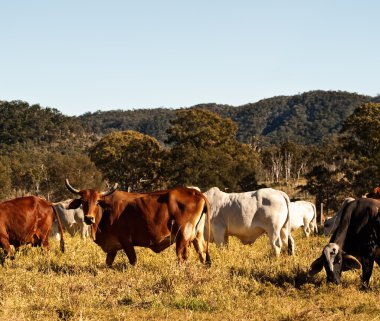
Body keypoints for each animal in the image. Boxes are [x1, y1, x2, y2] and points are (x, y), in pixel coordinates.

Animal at [66, 179, 212, 266]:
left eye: (97, 201)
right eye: (83, 201)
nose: (89, 218)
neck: (106, 211)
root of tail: (195, 192)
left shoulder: (126, 241)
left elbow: (133, 261)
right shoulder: (112, 248)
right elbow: (108, 262)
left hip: (182, 237)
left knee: (182, 257)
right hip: (197, 235)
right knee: (202, 253)